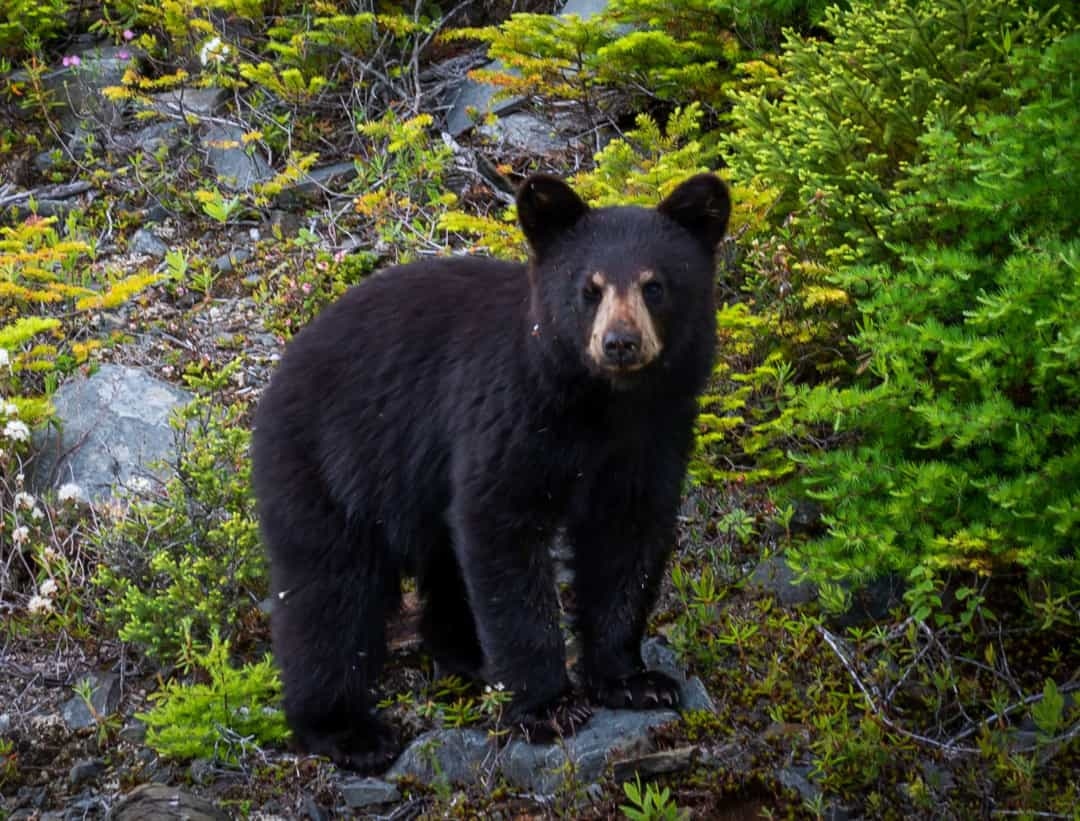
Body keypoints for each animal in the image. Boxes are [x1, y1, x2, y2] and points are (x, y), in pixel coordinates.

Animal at [248, 171, 730, 769]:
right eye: (589, 289)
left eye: (654, 285)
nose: (620, 342)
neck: (600, 404)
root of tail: (280, 369)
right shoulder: (510, 415)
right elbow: (502, 532)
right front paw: (547, 706)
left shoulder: (653, 435)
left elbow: (627, 541)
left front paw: (633, 679)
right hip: (328, 467)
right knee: (330, 594)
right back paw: (345, 729)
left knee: (441, 564)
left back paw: (467, 655)